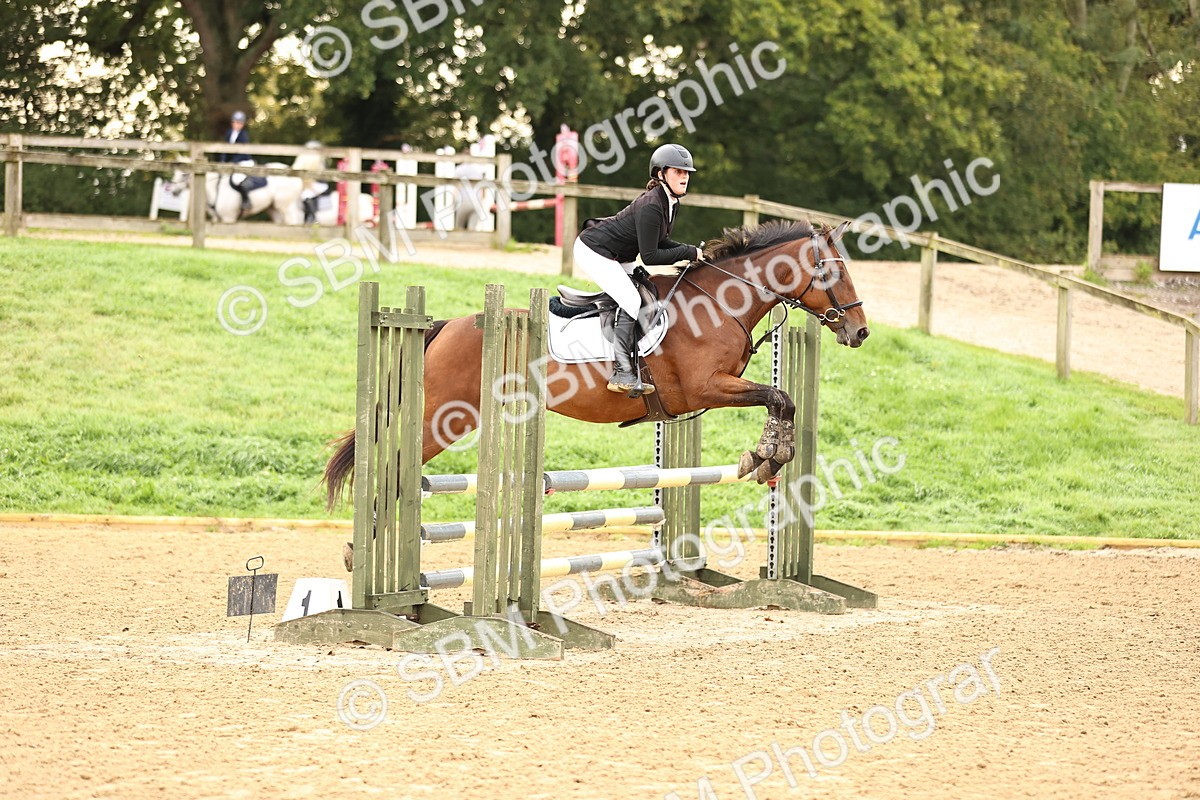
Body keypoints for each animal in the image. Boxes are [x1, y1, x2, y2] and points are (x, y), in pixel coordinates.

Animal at [323, 219, 869, 507]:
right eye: (832, 271)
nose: (860, 331)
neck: (721, 302)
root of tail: (442, 326)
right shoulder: (704, 387)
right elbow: (779, 395)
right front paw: (768, 455)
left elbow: (782, 399)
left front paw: (768, 455)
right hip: (442, 417)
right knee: (395, 462)